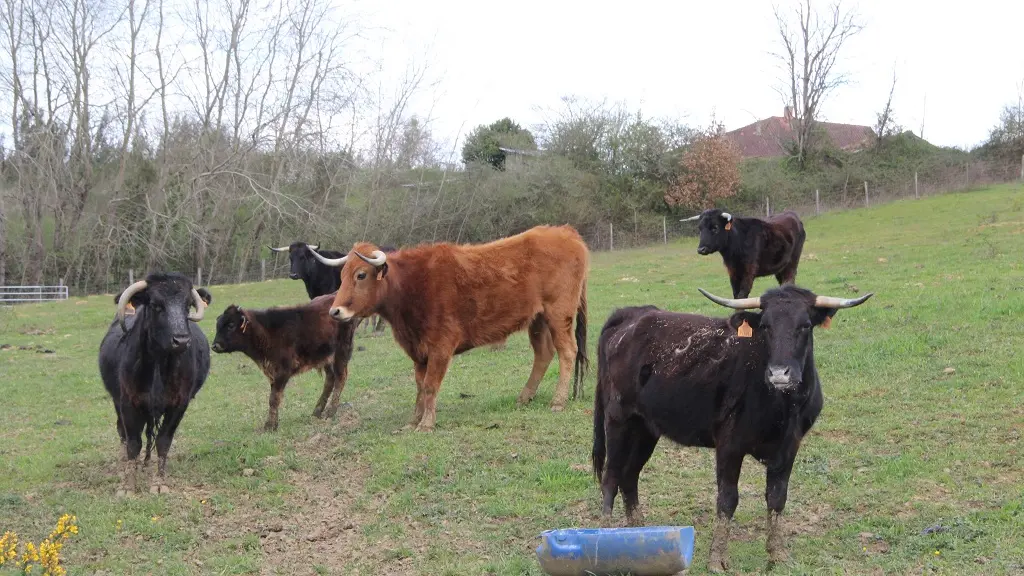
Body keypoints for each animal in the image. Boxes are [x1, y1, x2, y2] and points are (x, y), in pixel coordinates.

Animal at [98, 270, 212, 494]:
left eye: (188, 305)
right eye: (156, 305)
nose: (181, 340)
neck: (159, 365)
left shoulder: (179, 405)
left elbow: (163, 441)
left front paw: (159, 483)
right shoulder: (128, 403)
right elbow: (133, 443)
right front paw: (128, 485)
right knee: (122, 433)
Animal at [209, 291, 358, 430]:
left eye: (231, 325)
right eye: (218, 325)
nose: (215, 346)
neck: (266, 332)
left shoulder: (282, 371)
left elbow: (274, 398)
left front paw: (269, 426)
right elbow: (275, 396)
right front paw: (273, 424)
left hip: (341, 352)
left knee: (340, 377)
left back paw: (331, 412)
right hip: (326, 357)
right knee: (330, 380)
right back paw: (317, 411)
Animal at [307, 224, 589, 430]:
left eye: (361, 275)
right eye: (342, 275)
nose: (335, 311)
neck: (412, 286)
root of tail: (566, 233)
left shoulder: (441, 347)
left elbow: (431, 385)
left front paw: (426, 424)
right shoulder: (418, 352)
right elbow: (420, 387)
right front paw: (414, 420)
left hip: (558, 314)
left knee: (567, 352)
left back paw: (558, 401)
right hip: (538, 320)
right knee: (543, 354)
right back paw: (524, 397)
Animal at [593, 282, 872, 569]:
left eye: (805, 325)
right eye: (766, 326)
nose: (779, 374)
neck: (782, 406)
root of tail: (632, 314)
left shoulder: (789, 446)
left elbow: (777, 498)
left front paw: (778, 553)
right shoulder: (729, 445)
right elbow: (727, 500)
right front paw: (717, 558)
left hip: (645, 428)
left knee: (629, 476)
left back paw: (639, 536)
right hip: (617, 420)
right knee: (611, 477)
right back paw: (604, 536)